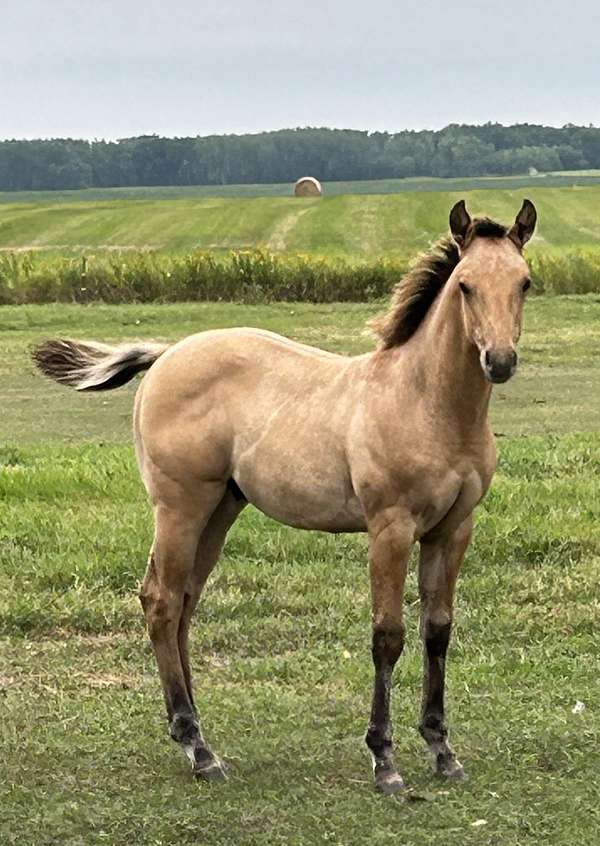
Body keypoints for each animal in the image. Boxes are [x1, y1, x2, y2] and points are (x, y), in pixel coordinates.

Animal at [33, 198, 537, 794]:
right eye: (464, 285)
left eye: (525, 282)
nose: (499, 361)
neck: (426, 404)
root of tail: (167, 354)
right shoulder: (389, 528)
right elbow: (388, 635)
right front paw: (384, 760)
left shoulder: (453, 528)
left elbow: (437, 630)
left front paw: (442, 750)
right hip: (180, 507)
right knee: (161, 601)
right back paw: (198, 746)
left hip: (220, 510)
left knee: (184, 604)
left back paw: (193, 733)